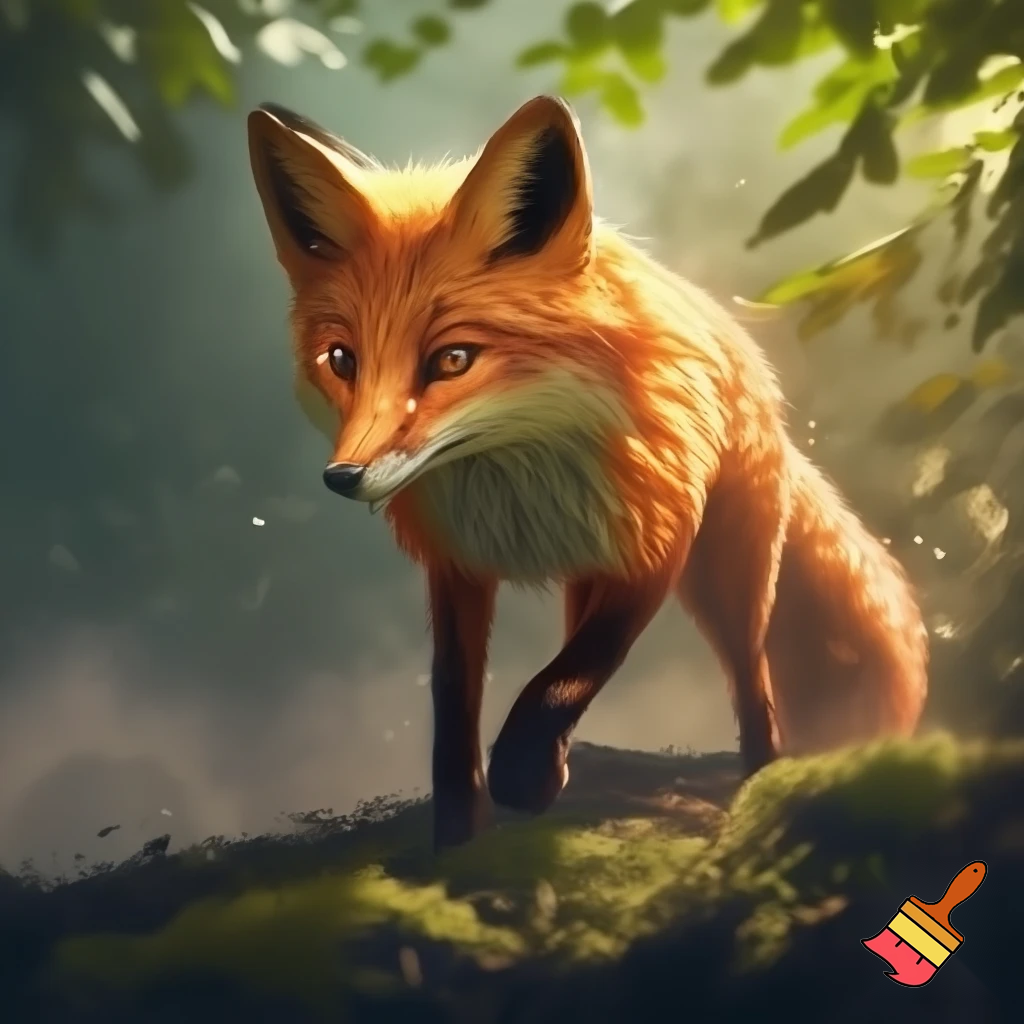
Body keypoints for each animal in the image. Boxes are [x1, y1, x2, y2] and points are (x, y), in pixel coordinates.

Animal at [247, 95, 929, 850]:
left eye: (453, 360)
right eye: (342, 360)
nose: (344, 476)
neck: (520, 471)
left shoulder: (652, 544)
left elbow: (570, 675)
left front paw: (522, 774)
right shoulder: (457, 566)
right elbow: (455, 699)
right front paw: (460, 829)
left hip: (728, 576)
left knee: (753, 677)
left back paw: (757, 784)